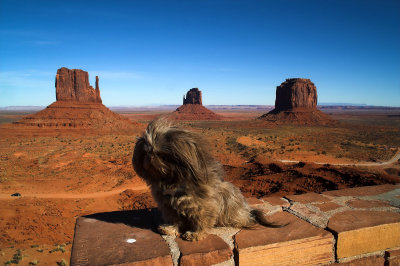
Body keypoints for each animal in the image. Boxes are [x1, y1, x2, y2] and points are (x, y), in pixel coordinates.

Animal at [132, 118, 282, 241]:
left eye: (162, 154)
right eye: (145, 152)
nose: (150, 156)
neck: (172, 180)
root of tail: (247, 211)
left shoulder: (203, 207)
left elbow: (201, 222)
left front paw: (196, 234)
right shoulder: (169, 207)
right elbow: (174, 220)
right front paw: (170, 228)